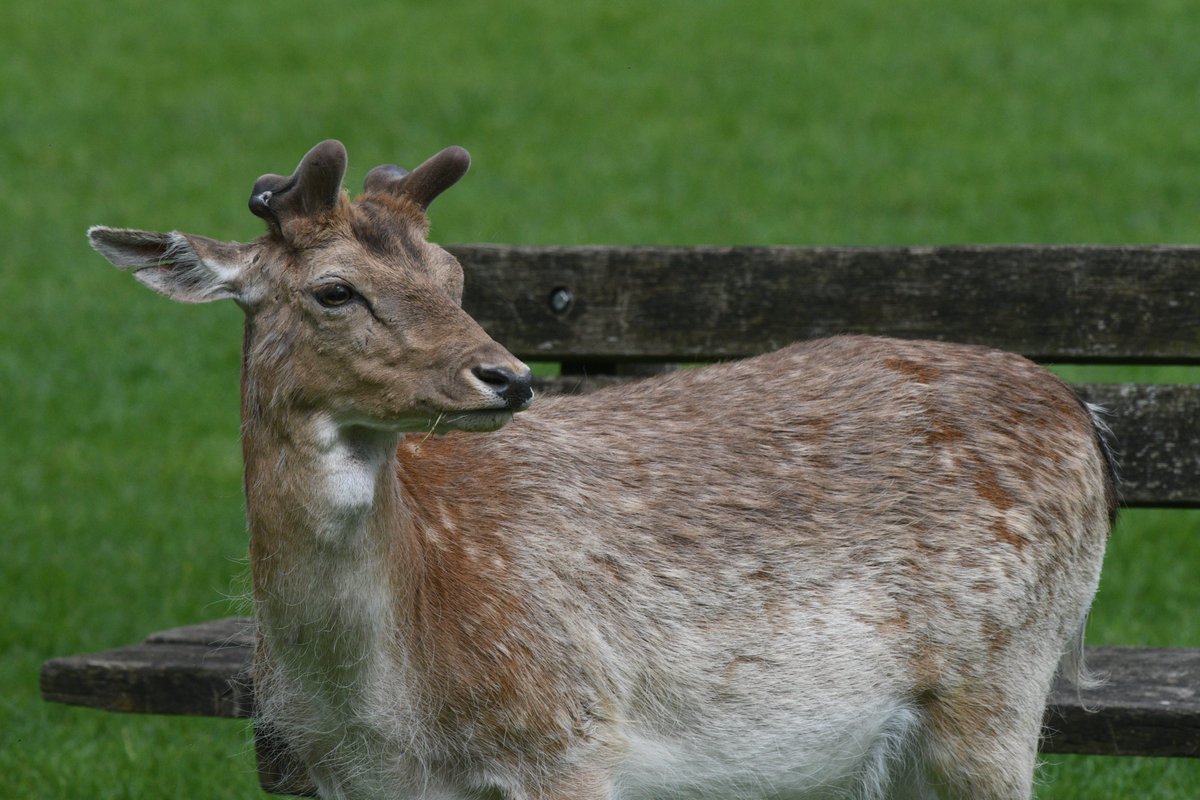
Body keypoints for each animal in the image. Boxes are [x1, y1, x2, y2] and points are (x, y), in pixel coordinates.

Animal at [91, 140, 1113, 796]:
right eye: (334, 291)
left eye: (456, 277)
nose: (508, 376)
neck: (384, 703)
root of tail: (1085, 415)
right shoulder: (336, 776)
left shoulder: (568, 738)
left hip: (1002, 685)